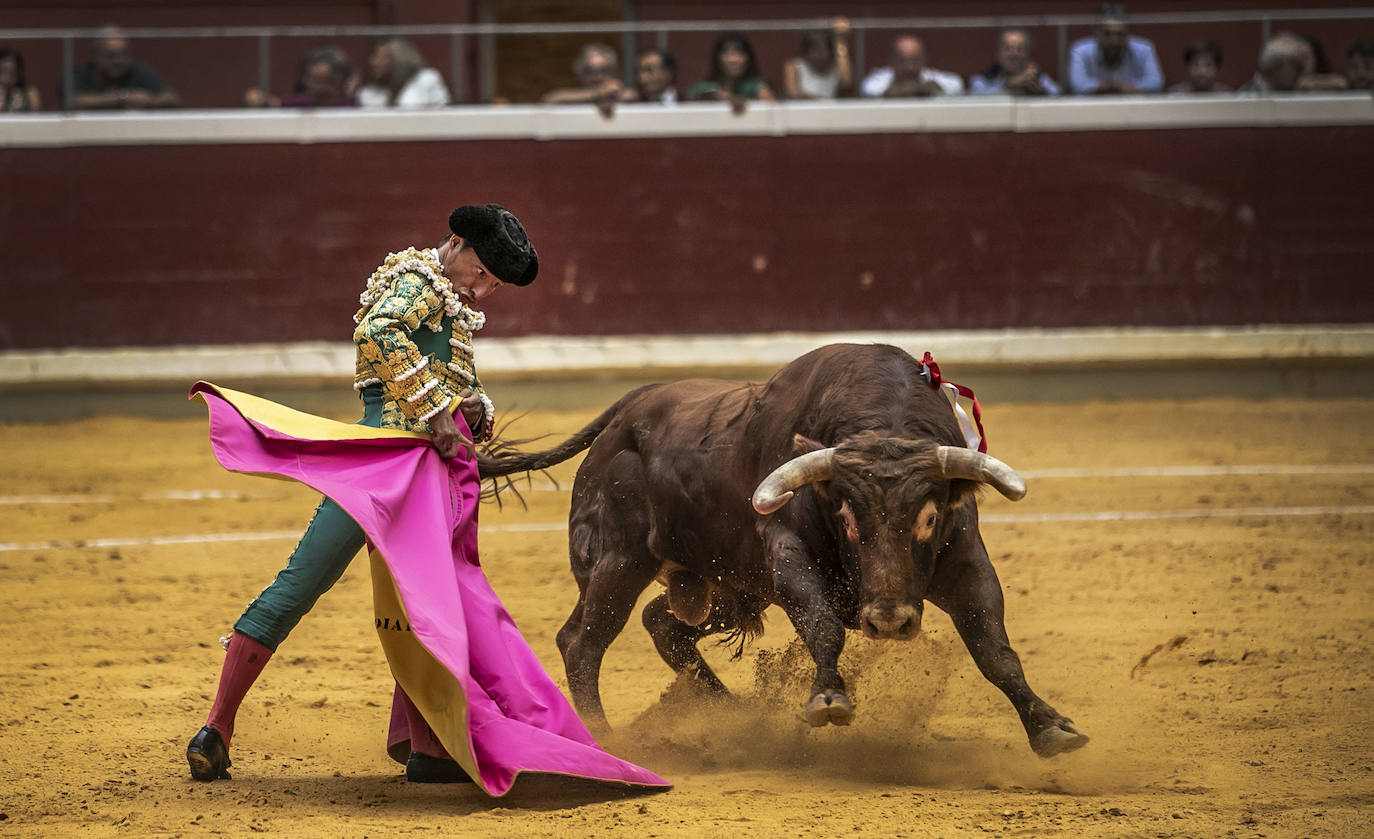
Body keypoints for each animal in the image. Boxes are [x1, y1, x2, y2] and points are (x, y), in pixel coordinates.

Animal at [478, 344, 1088, 757]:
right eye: (845, 516)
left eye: (930, 518)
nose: (889, 622)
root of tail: (628, 414)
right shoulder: (790, 555)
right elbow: (822, 623)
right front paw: (828, 700)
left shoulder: (965, 559)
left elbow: (994, 649)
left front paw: (1051, 727)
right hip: (619, 562)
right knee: (582, 642)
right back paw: (605, 740)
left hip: (726, 585)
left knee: (662, 624)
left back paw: (734, 715)